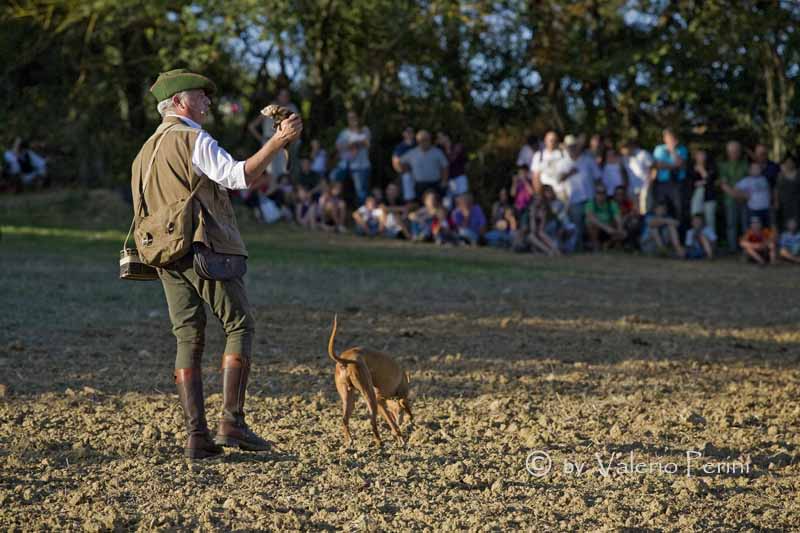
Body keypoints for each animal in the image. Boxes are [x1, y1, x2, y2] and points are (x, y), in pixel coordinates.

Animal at [326, 314, 412, 446]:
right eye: (401, 411)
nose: (402, 421)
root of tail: (345, 360)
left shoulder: (382, 404)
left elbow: (391, 421)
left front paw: (397, 435)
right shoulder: (380, 400)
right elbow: (393, 422)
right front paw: (400, 438)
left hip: (348, 397)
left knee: (344, 419)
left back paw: (349, 441)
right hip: (369, 395)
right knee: (372, 421)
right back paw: (379, 442)